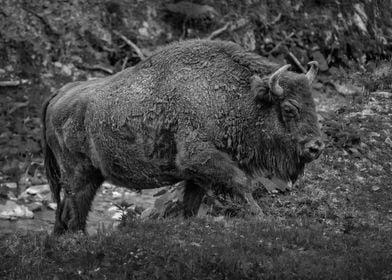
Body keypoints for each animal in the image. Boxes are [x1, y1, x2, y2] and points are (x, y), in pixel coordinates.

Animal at [43, 39, 324, 234]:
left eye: (312, 103)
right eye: (289, 109)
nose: (316, 147)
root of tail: (59, 94)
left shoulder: (197, 175)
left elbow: (192, 204)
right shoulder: (200, 159)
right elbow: (242, 183)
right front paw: (261, 217)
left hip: (89, 175)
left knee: (66, 212)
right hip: (78, 174)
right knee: (75, 211)